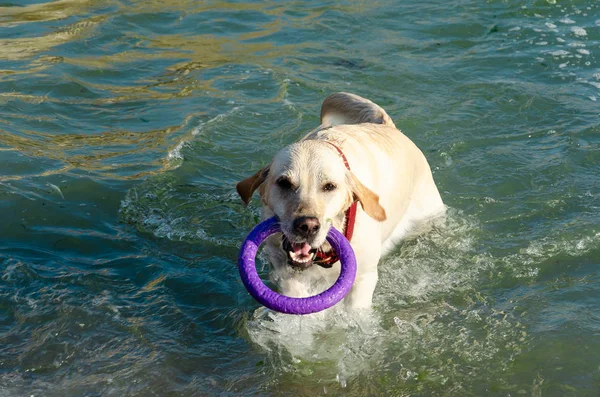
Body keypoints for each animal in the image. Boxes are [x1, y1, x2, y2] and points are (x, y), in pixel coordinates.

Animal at [237, 93, 442, 310]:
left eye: (329, 186)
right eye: (284, 183)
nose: (307, 226)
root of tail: (389, 126)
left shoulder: (363, 277)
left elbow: (354, 310)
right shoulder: (284, 269)